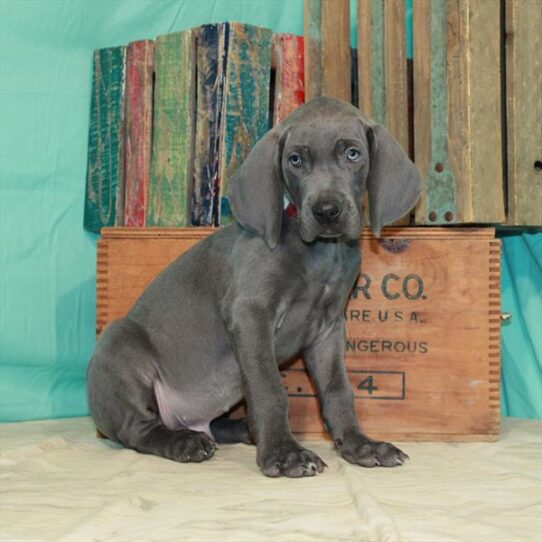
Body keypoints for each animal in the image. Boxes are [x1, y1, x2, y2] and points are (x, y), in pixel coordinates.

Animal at [88, 98, 420, 480]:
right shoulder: (250, 314)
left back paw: (243, 429)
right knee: (138, 430)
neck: (321, 253)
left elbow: (338, 389)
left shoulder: (328, 328)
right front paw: (284, 453)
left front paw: (359, 445)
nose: (326, 211)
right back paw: (184, 442)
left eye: (353, 154)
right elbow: (269, 387)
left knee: (212, 425)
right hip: (119, 341)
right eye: (295, 160)